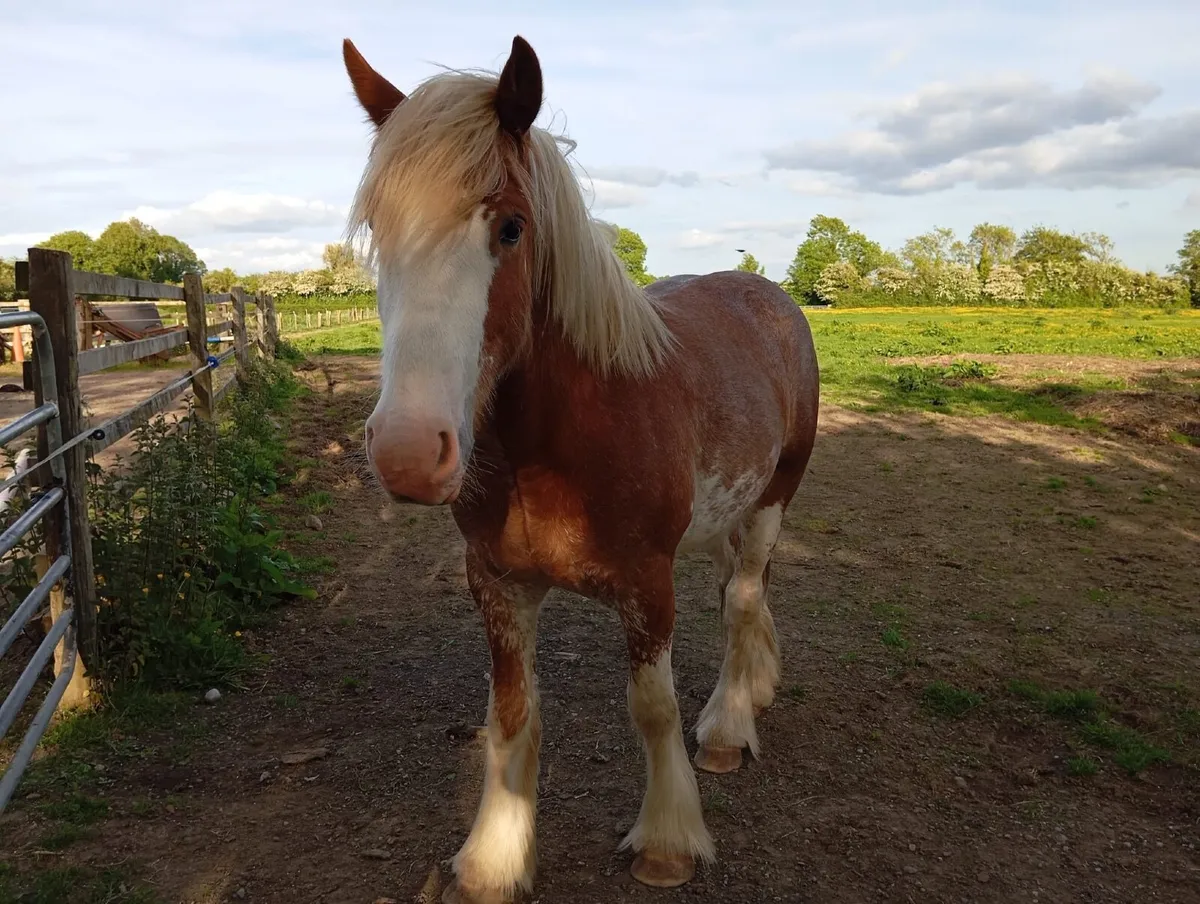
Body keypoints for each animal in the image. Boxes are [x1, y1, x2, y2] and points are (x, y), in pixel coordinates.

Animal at [342, 34, 820, 904]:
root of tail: (769, 296)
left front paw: (666, 840)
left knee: (742, 601)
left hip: (774, 495)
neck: (558, 445)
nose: (408, 451)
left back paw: (730, 724)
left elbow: (654, 709)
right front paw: (494, 857)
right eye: (378, 230)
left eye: (510, 228)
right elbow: (510, 717)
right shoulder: (497, 585)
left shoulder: (647, 585)